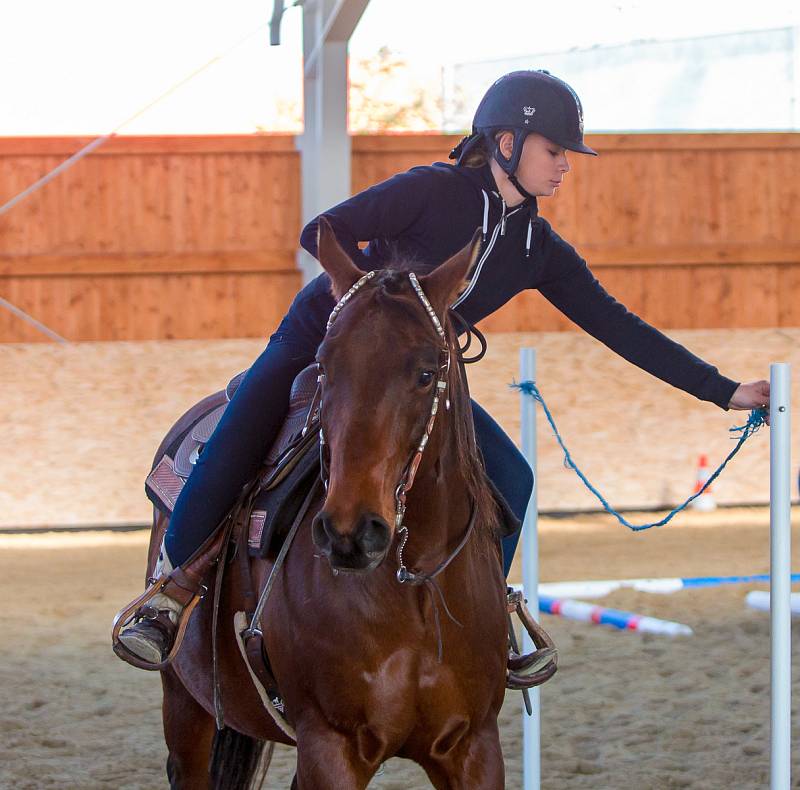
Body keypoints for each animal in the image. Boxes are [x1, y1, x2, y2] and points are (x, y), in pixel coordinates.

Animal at [146, 224, 506, 790]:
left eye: (427, 372)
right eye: (323, 366)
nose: (350, 533)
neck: (413, 589)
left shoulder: (474, 746)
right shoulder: (330, 746)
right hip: (186, 707)